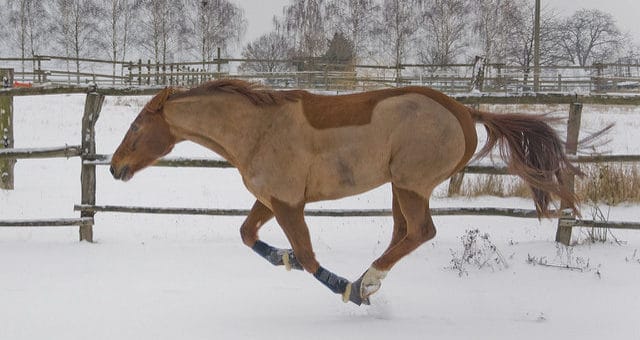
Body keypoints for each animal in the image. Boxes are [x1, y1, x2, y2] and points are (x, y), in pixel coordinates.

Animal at [110, 80, 580, 306]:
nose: (115, 168)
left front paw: (341, 288)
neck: (256, 129)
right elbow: (247, 234)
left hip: (410, 185)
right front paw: (283, 258)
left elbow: (310, 256)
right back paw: (370, 281)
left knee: (421, 232)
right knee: (403, 234)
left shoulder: (289, 204)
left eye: (135, 128)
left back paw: (363, 283)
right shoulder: (270, 199)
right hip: (399, 189)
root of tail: (466, 111)